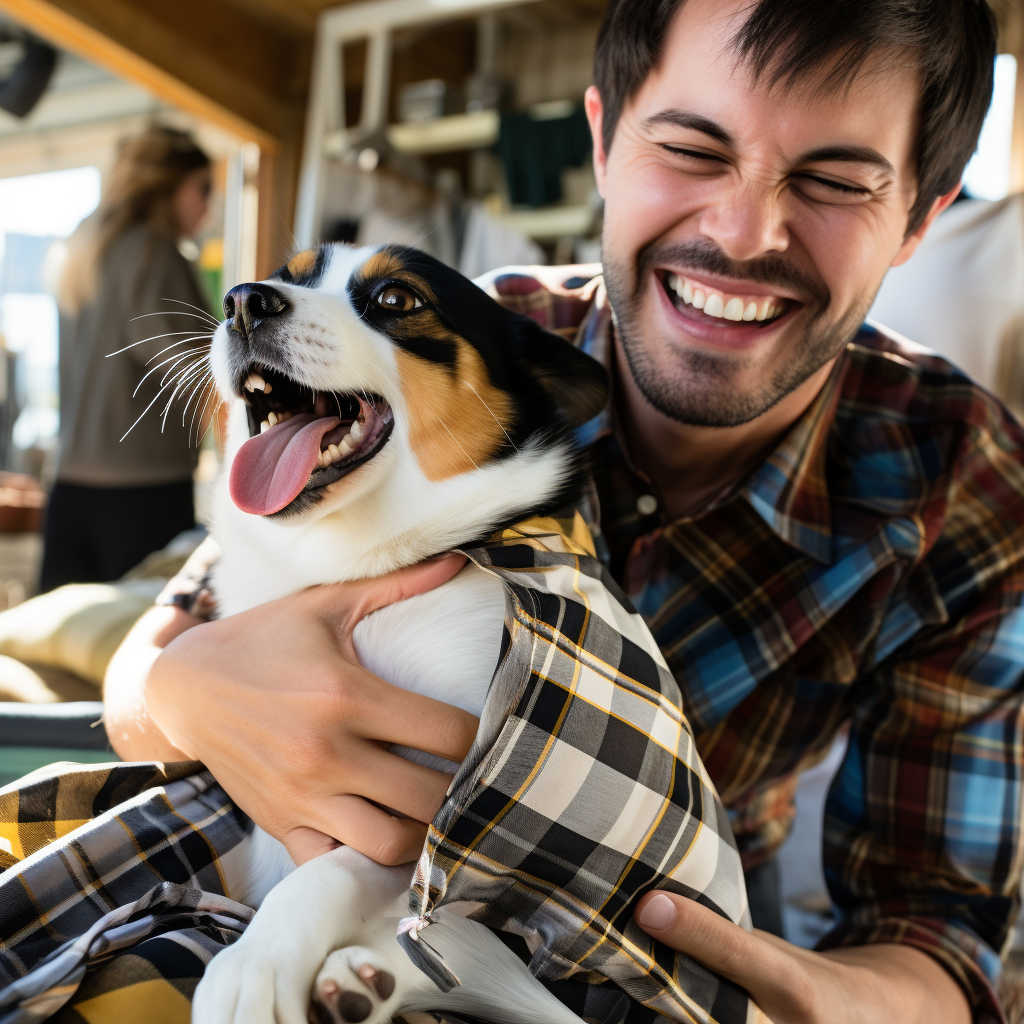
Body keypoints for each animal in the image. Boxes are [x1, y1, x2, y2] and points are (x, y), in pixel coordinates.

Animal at [192, 245, 610, 1024]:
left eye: (395, 298)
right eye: (287, 273)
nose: (244, 301)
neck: (354, 567)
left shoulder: (446, 810)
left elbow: (338, 867)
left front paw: (256, 963)